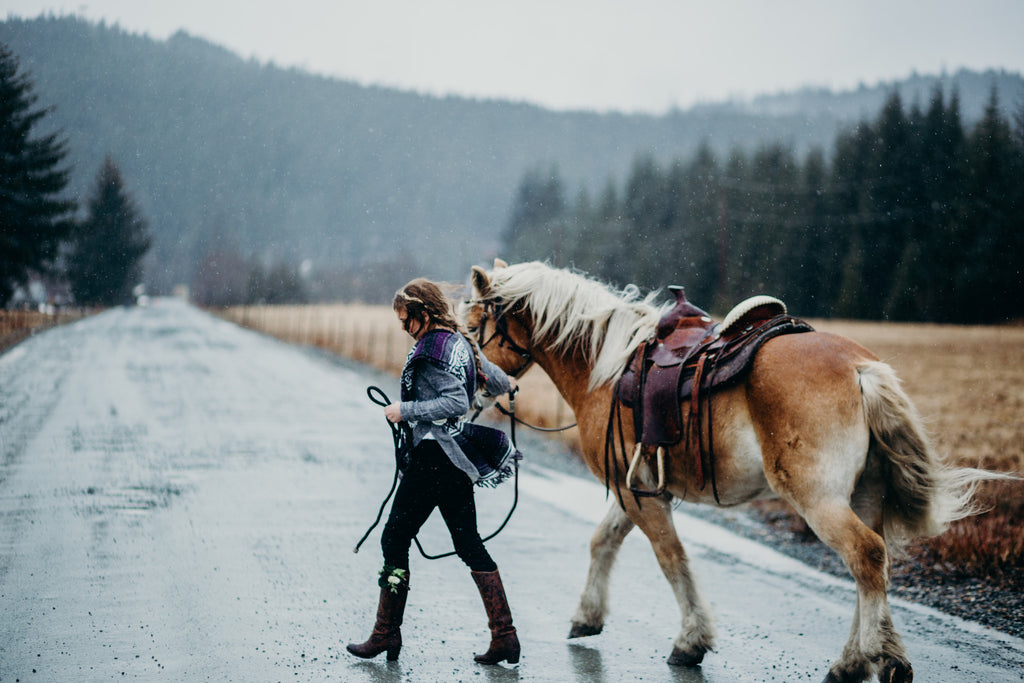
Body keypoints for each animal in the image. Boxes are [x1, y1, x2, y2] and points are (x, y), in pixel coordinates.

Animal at [460, 258, 1003, 683]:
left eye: (470, 328)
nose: (470, 390)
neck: (605, 370)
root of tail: (860, 368)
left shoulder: (639, 493)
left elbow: (671, 557)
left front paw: (690, 642)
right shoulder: (633, 488)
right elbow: (603, 541)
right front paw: (587, 617)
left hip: (818, 499)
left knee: (866, 556)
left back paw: (881, 661)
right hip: (863, 497)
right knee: (870, 565)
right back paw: (853, 661)